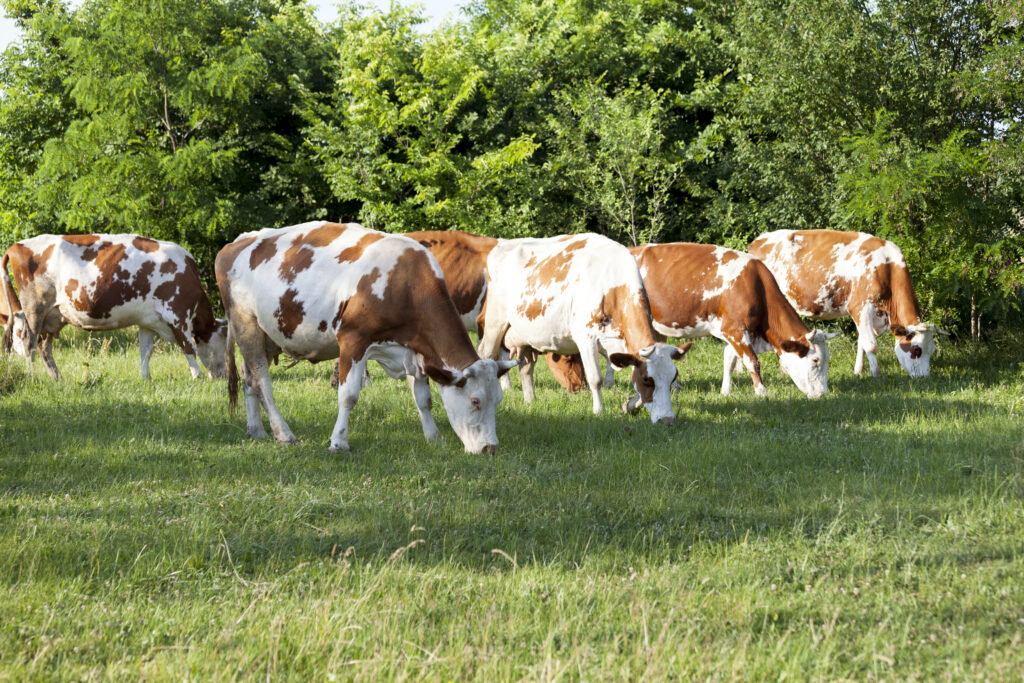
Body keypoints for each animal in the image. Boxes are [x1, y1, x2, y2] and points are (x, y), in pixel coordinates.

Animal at [2, 236, 226, 382]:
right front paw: (197, 376)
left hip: (53, 316)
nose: (222, 376)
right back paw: (33, 377)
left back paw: (57, 377)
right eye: (222, 346)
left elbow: (146, 351)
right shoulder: (177, 314)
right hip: (34, 309)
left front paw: (146, 378)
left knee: (43, 346)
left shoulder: (148, 321)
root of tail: (17, 245)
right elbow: (188, 346)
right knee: (29, 343)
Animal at [216, 219, 520, 454]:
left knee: (248, 375)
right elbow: (348, 396)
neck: (405, 284)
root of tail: (237, 242)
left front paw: (433, 437)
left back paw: (256, 429)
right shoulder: (353, 340)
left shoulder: (416, 350)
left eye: (498, 400)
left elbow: (423, 398)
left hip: (269, 335)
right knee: (261, 379)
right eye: (475, 401)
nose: (491, 448)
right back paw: (283, 433)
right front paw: (338, 442)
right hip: (246, 324)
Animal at [477, 232, 688, 421]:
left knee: (526, 367)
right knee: (486, 354)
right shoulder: (586, 338)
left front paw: (630, 405)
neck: (612, 284)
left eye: (673, 378)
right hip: (494, 323)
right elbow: (596, 378)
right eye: (647, 380)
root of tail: (502, 245)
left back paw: (530, 400)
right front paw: (599, 411)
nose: (667, 419)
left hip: (525, 335)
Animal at [753, 229, 942, 378]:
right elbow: (871, 344)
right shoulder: (860, 306)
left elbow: (861, 342)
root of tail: (758, 241)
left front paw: (858, 371)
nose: (924, 377)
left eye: (932, 351)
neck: (886, 266)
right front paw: (876, 375)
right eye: (917, 350)